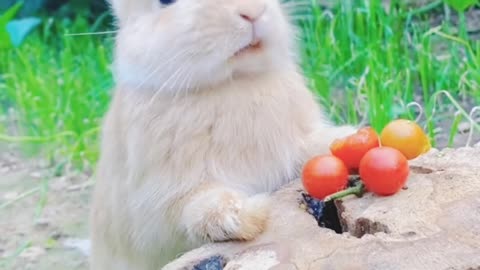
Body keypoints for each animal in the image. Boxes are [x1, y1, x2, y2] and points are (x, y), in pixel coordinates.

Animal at [89, 0, 356, 270]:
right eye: (166, 2)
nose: (253, 12)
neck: (233, 83)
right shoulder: (161, 200)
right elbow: (198, 208)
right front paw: (246, 216)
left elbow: (319, 147)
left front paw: (353, 135)